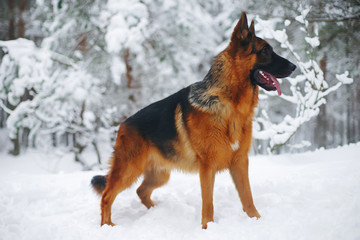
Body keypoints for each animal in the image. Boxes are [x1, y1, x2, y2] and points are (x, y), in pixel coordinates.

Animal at [90, 12, 296, 229]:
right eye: (265, 50)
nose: (294, 66)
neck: (229, 103)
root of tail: (123, 125)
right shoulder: (207, 167)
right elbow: (208, 202)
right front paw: (208, 227)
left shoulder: (240, 162)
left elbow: (247, 197)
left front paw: (256, 220)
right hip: (129, 170)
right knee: (107, 196)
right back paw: (107, 226)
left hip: (160, 175)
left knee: (141, 191)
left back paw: (156, 212)